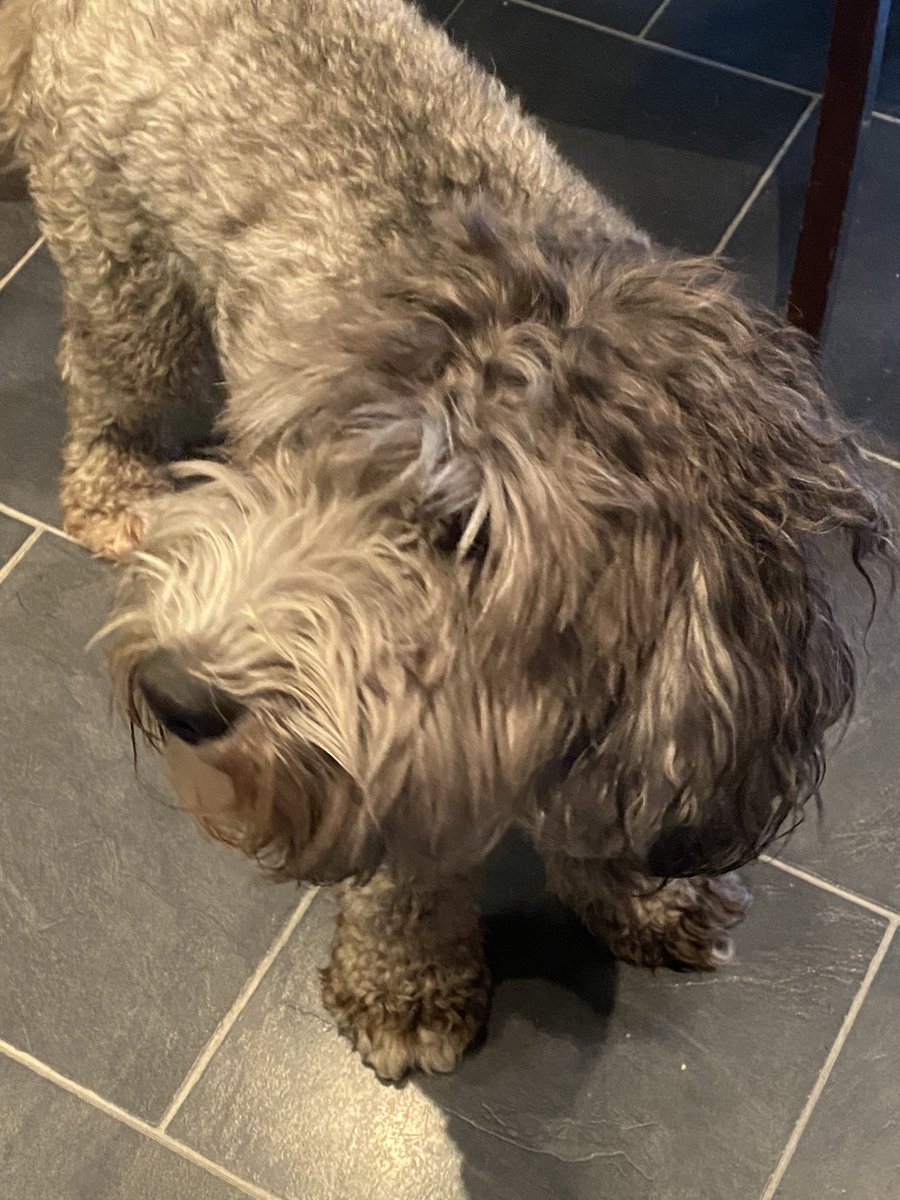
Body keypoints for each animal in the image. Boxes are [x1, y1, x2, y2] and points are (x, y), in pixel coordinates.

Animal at [5, 0, 897, 1080]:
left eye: (461, 532)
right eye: (291, 456)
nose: (177, 693)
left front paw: (642, 896)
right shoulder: (403, 751)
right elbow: (410, 877)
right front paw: (409, 985)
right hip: (126, 272)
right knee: (107, 385)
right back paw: (115, 488)